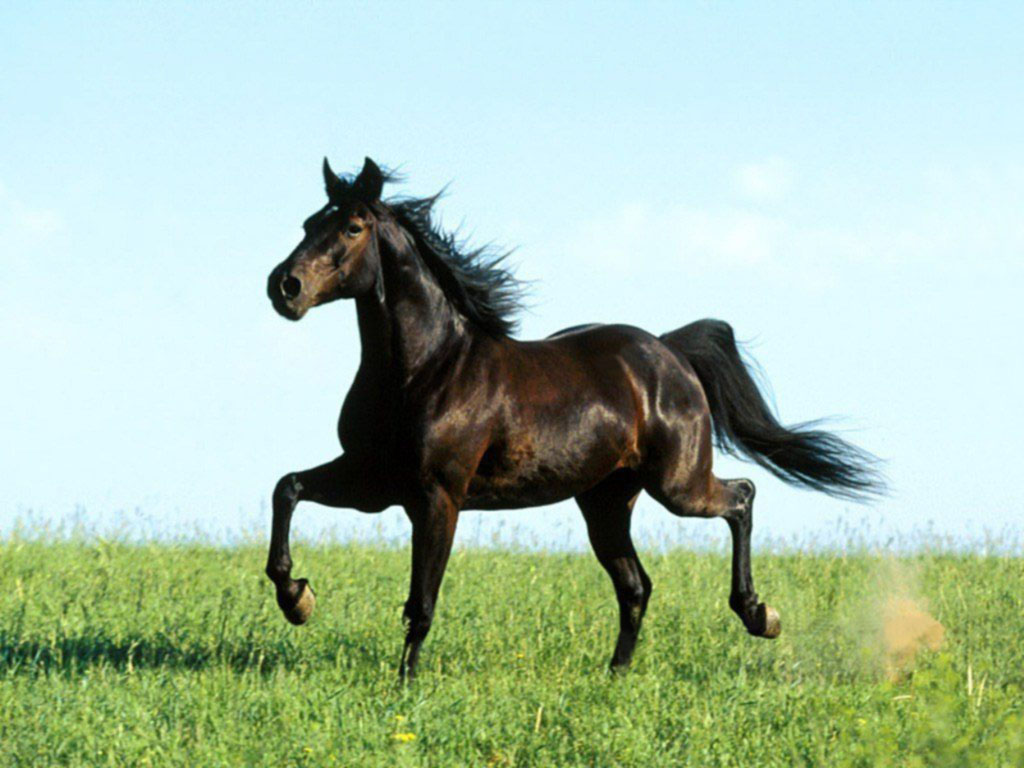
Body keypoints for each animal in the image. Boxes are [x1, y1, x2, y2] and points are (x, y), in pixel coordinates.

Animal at [264, 157, 880, 679]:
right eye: (309, 222)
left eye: (352, 227)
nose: (284, 287)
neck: (426, 369)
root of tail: (669, 351)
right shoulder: (375, 480)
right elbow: (287, 488)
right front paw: (298, 599)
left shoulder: (436, 495)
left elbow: (422, 601)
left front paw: (405, 684)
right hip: (606, 500)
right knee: (636, 586)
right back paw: (617, 674)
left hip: (678, 485)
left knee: (741, 497)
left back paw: (759, 615)